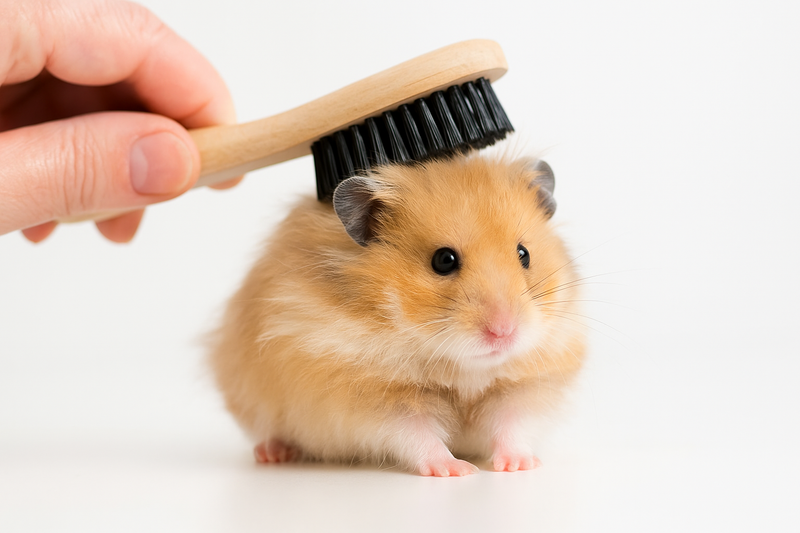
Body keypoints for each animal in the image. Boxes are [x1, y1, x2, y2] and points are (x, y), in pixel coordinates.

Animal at [209, 153, 586, 476]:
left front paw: (519, 466)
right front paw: (457, 470)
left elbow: (511, 426)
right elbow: (417, 435)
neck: (463, 368)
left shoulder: (522, 388)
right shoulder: (374, 402)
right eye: (443, 260)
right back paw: (272, 454)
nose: (504, 332)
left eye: (524, 254)